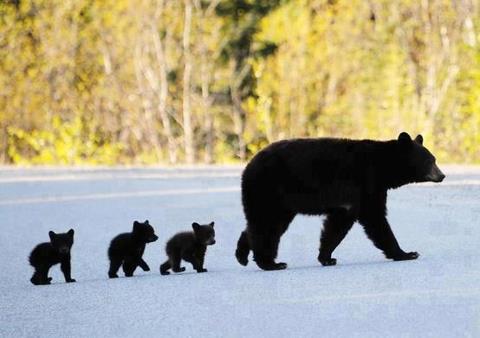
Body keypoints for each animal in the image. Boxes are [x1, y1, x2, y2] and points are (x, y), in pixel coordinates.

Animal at [236, 131, 446, 270]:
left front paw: (326, 257)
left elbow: (344, 222)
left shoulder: (361, 194)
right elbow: (373, 219)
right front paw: (407, 253)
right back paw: (270, 263)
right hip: (269, 189)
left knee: (264, 224)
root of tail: (249, 165)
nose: (442, 175)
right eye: (430, 161)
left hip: (280, 202)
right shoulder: (365, 183)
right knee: (266, 225)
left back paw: (242, 255)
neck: (382, 167)